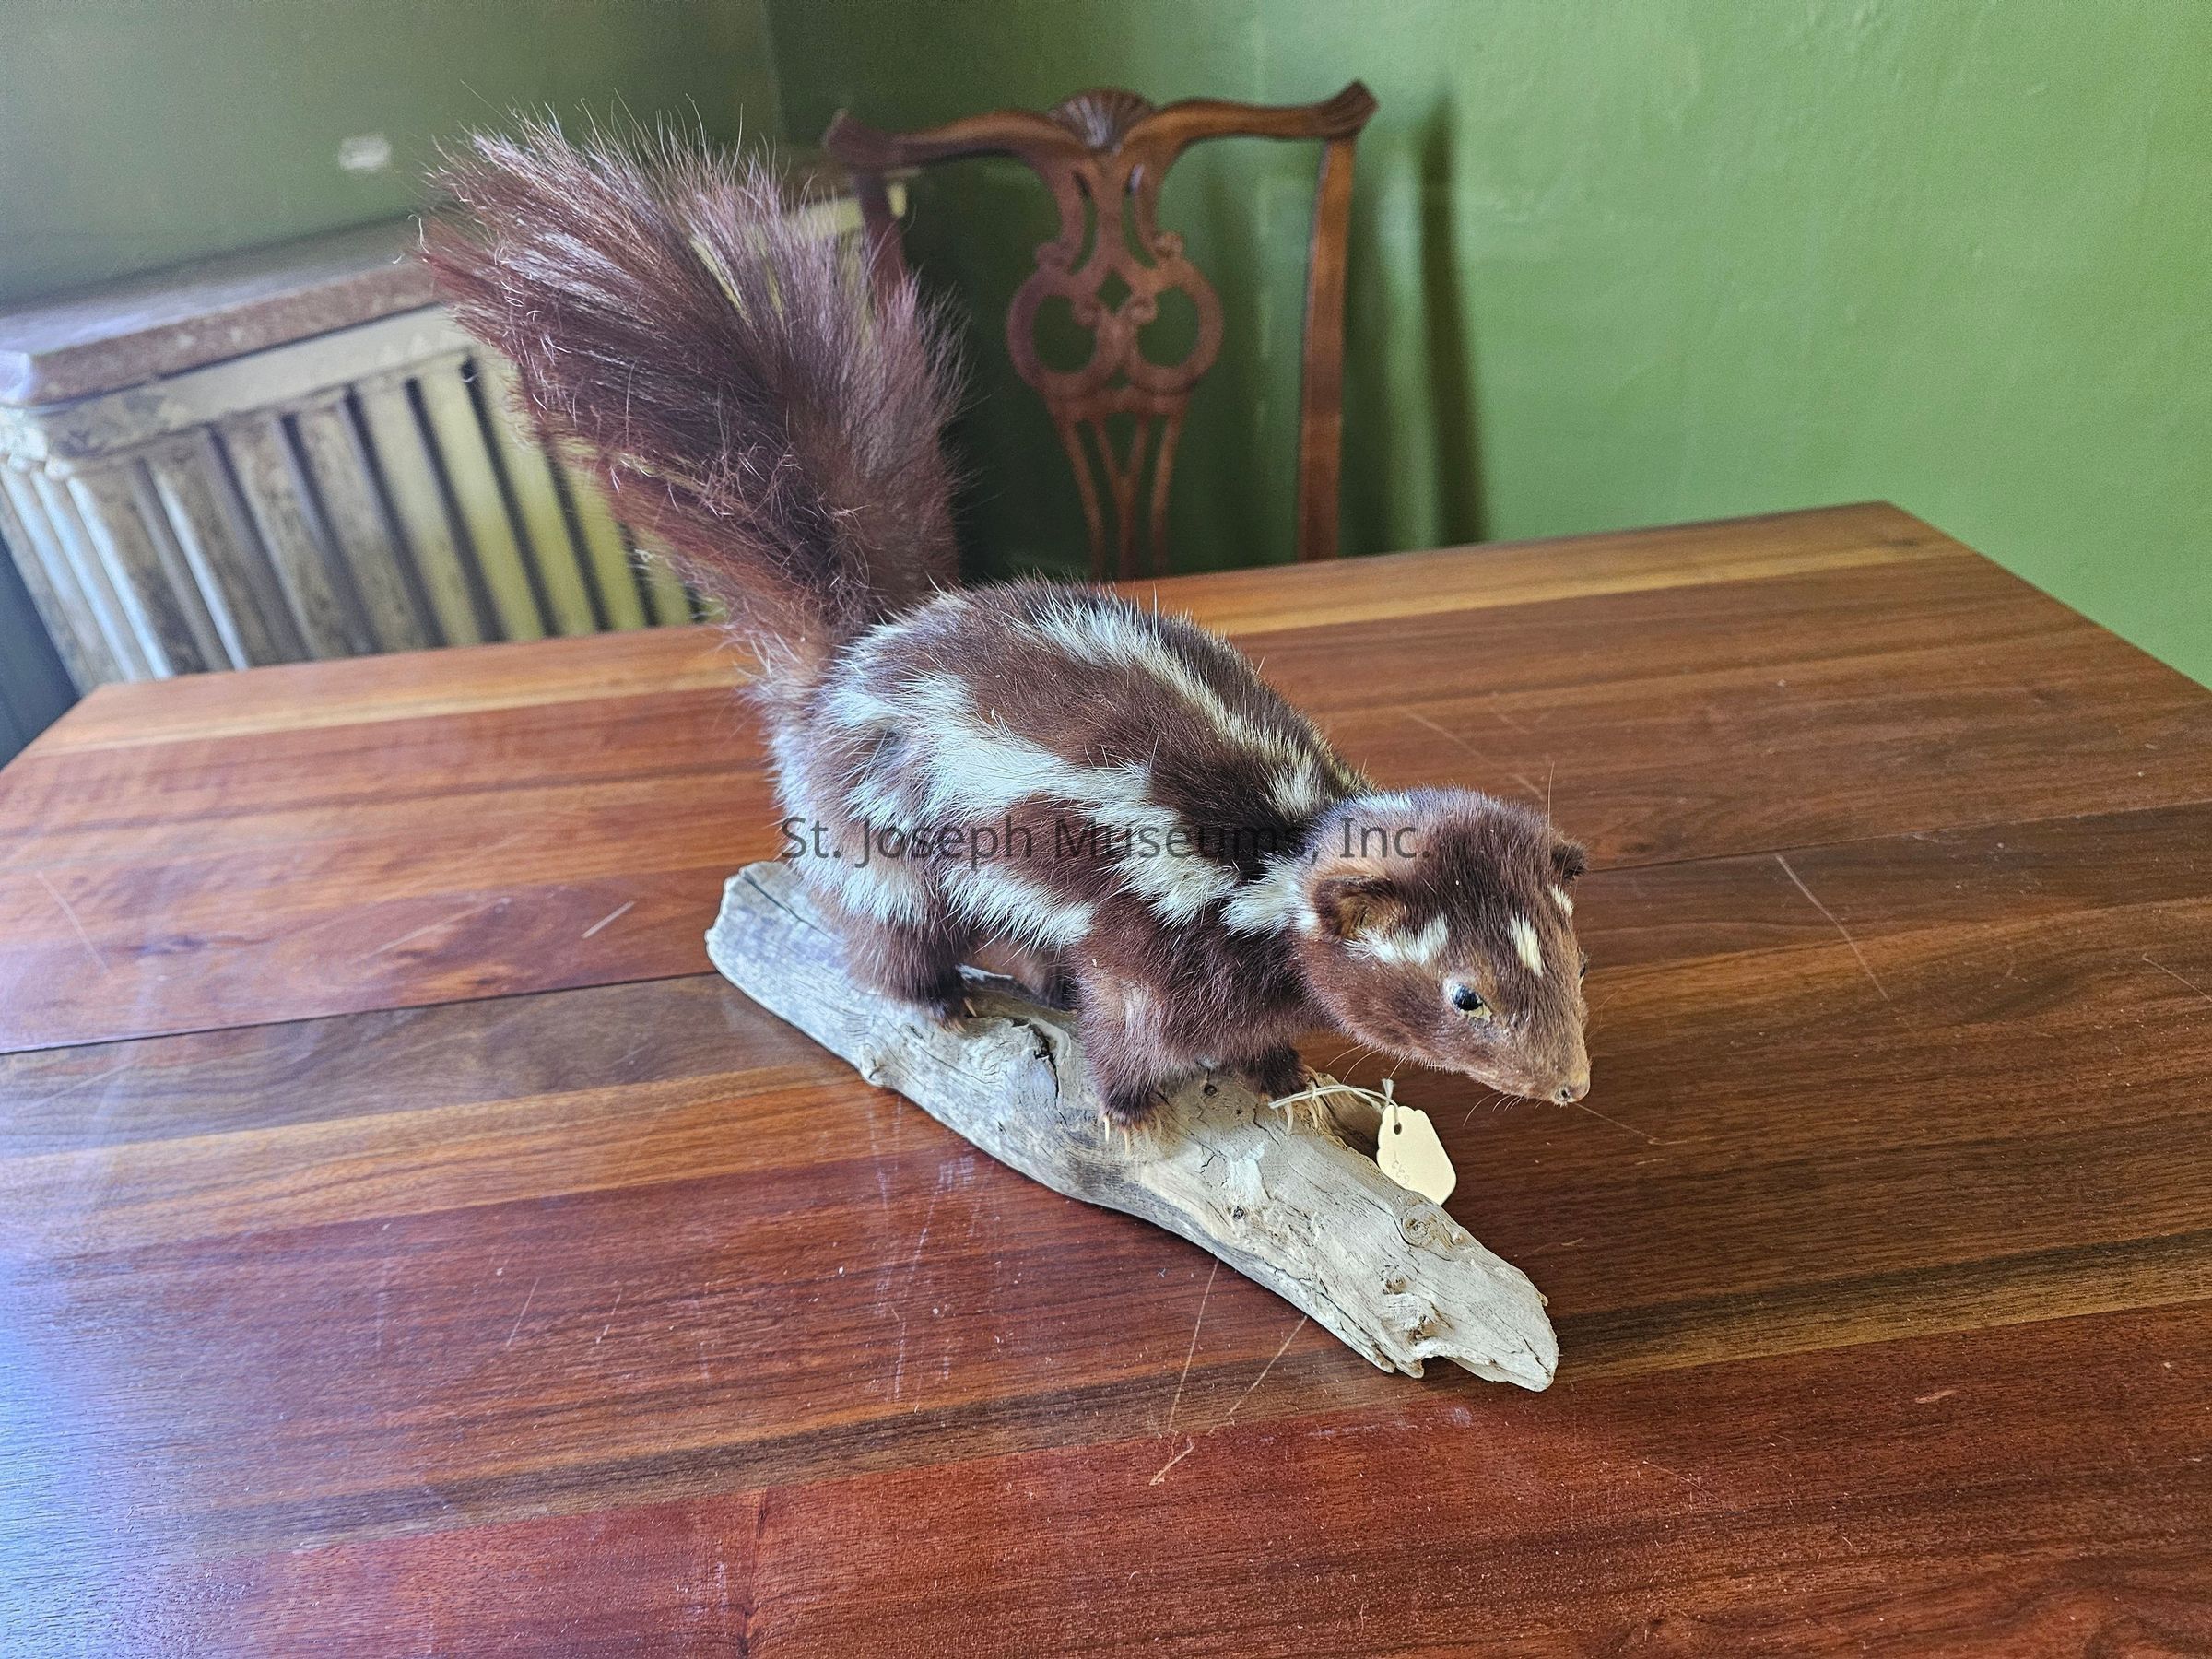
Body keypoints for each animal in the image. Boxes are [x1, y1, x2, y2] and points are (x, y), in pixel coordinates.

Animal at [425, 124, 1592, 1124]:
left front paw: (1279, 1068)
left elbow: (1255, 1021)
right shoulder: (1159, 927)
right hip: (887, 824)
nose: (1571, 1082)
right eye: (1467, 995)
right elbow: (1138, 1019)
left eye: (1570, 961)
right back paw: (942, 999)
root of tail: (855, 657)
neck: (1274, 856)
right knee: (897, 925)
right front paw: (1129, 1108)